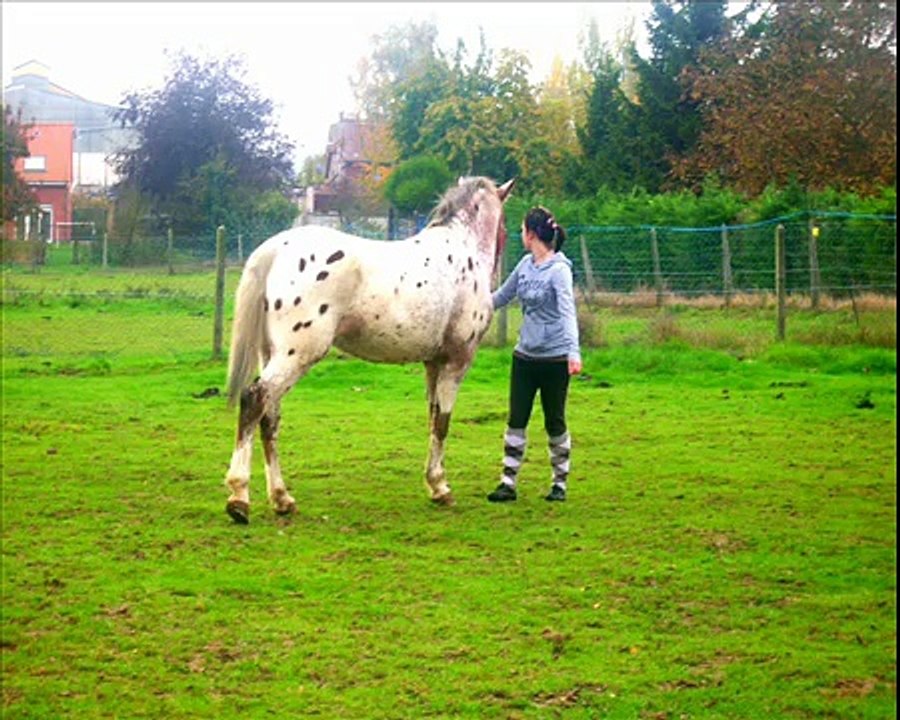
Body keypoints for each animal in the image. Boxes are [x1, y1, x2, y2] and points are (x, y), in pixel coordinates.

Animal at [223, 176, 515, 523]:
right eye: (505, 226)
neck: (461, 247)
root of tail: (274, 250)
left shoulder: (433, 363)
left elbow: (432, 418)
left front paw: (433, 484)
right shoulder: (457, 360)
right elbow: (443, 422)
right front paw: (441, 488)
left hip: (271, 355)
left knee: (269, 416)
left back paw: (282, 499)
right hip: (296, 357)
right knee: (254, 399)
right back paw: (239, 498)